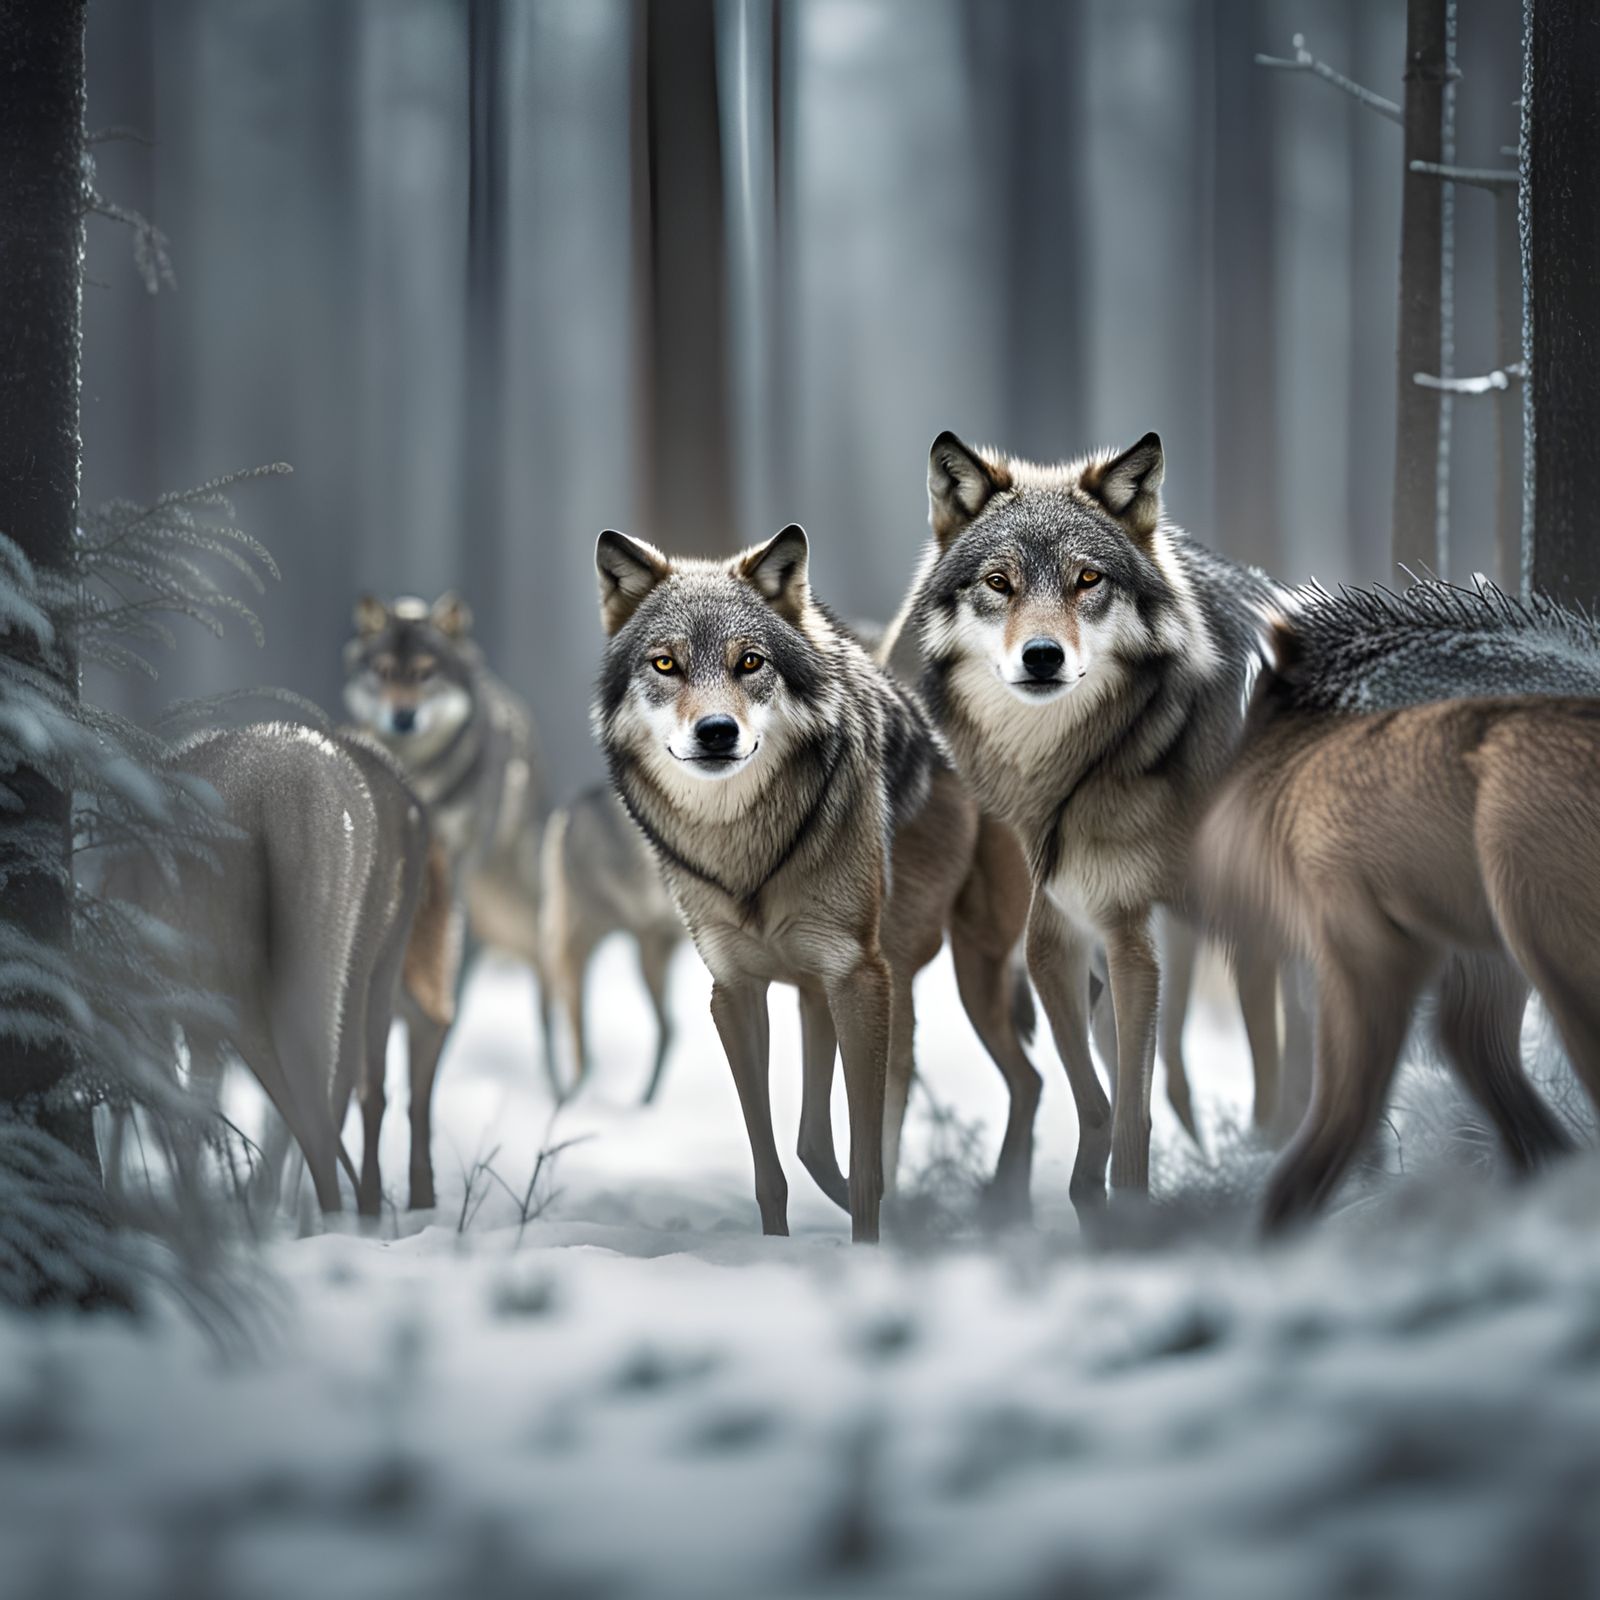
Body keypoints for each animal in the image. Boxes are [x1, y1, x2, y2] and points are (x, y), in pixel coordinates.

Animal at [593, 525, 1042, 1241]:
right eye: (665, 665)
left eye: (750, 662)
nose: (716, 731)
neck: (749, 852)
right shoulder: (738, 992)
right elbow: (781, 1161)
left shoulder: (853, 979)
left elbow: (859, 1160)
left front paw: (870, 1238)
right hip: (860, 994)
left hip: (971, 971)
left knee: (1027, 1082)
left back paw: (1008, 1209)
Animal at [883, 430, 1286, 1201]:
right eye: (1000, 583)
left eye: (1088, 579)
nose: (1042, 656)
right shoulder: (1062, 936)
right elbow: (1100, 1103)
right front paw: (1091, 1199)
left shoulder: (1144, 941)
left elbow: (1138, 1107)